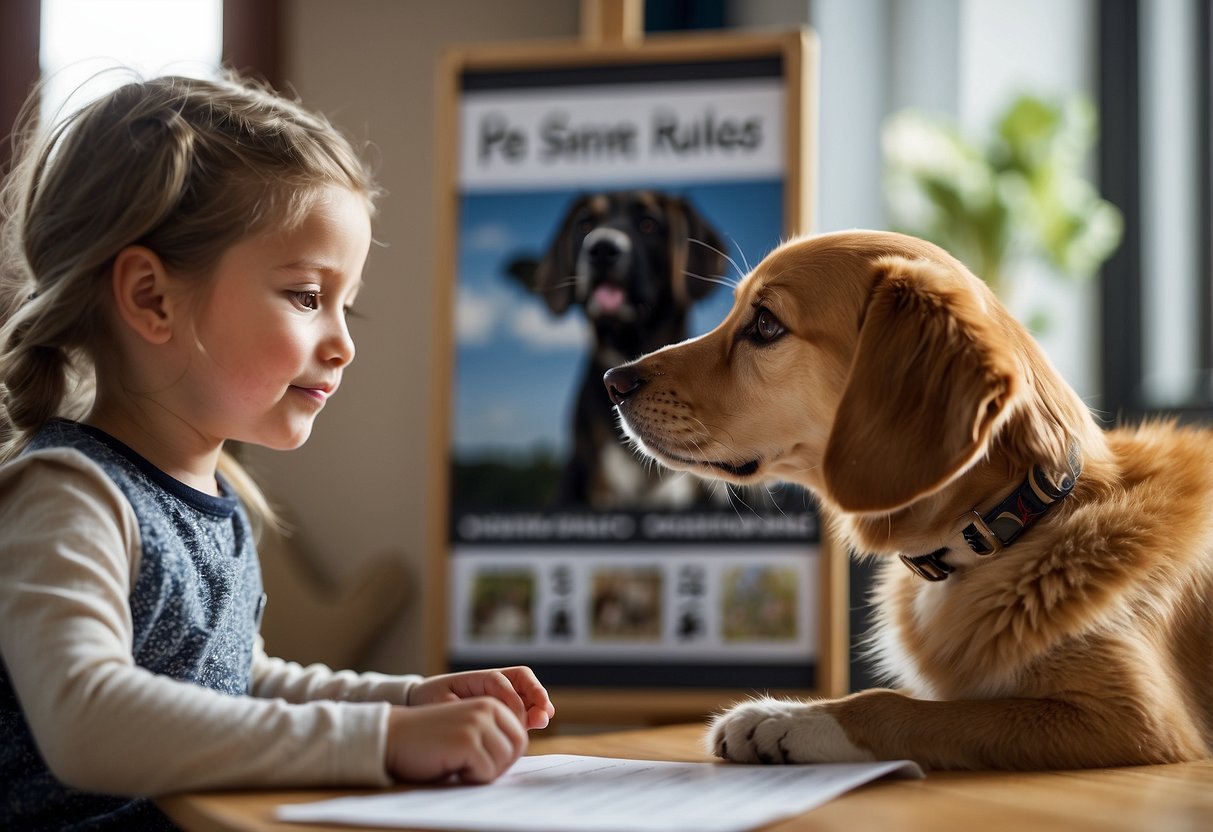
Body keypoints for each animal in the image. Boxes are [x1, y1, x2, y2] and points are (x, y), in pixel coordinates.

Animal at [604, 231, 1213, 771]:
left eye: (765, 324)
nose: (613, 381)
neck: (1013, 525)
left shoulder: (1131, 716)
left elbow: (907, 707)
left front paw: (788, 721)